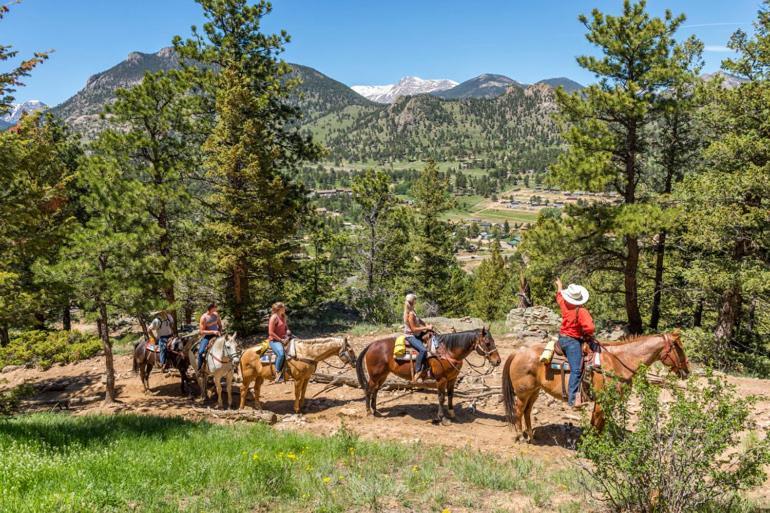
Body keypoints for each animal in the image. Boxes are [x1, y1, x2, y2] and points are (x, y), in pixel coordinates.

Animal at [356, 328, 500, 424]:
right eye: (488, 343)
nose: (498, 361)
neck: (447, 351)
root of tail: (371, 345)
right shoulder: (441, 379)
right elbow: (441, 398)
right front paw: (442, 418)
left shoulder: (452, 379)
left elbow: (450, 396)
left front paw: (452, 413)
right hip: (375, 376)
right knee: (368, 390)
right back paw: (369, 412)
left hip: (383, 375)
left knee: (375, 390)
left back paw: (376, 411)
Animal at [500, 330, 688, 442]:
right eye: (678, 348)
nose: (687, 371)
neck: (619, 362)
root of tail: (518, 352)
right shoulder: (603, 401)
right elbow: (597, 423)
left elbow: (597, 423)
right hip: (523, 393)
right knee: (518, 411)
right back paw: (520, 436)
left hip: (534, 391)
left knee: (527, 412)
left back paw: (531, 436)